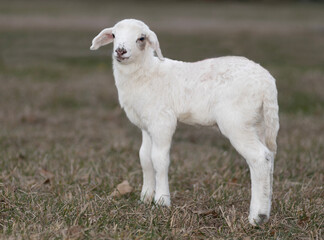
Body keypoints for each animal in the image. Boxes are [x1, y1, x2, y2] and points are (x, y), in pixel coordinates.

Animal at [90, 18, 278, 225]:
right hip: (258, 122)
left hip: (236, 121)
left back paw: (257, 217)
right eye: (114, 35)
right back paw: (266, 207)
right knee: (269, 157)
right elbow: (145, 158)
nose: (121, 51)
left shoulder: (162, 121)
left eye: (141, 38)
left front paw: (161, 201)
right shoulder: (146, 125)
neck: (146, 73)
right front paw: (145, 197)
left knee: (259, 158)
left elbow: (159, 159)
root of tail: (267, 83)